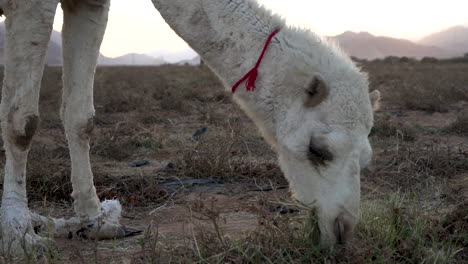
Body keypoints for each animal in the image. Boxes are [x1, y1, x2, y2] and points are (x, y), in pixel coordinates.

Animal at [0, 0, 380, 256]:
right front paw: (19, 233)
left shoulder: (90, 3)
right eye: (318, 150)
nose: (342, 230)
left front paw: (95, 221)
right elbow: (23, 123)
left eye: (366, 159)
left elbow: (82, 118)